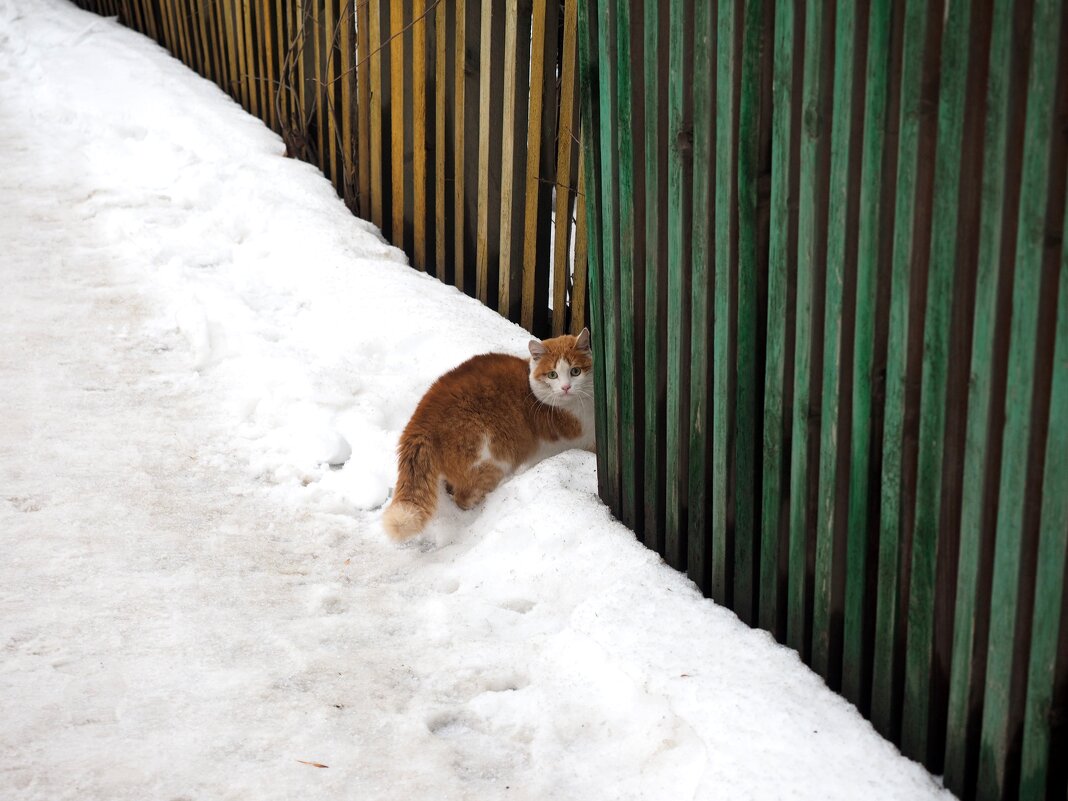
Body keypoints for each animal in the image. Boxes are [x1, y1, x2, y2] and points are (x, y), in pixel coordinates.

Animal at [384, 328, 598, 542]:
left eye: (575, 371)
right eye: (552, 375)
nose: (566, 387)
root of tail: (422, 418)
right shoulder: (581, 434)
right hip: (492, 458)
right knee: (464, 498)